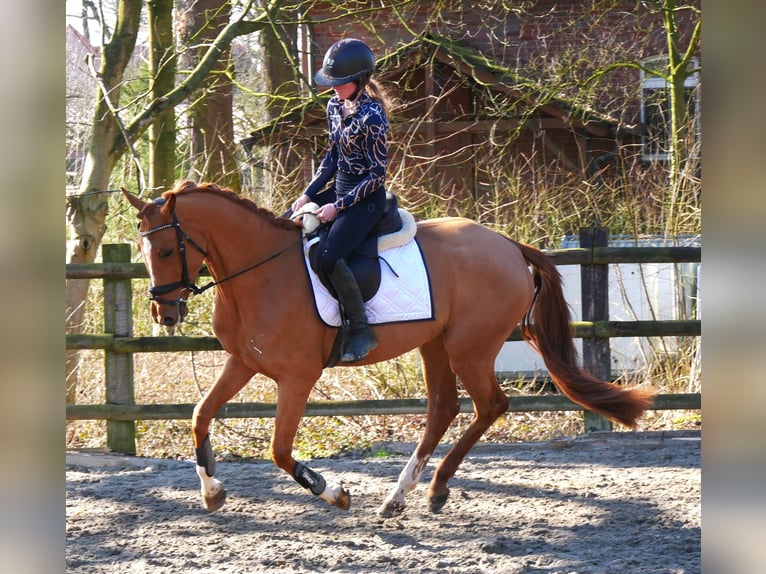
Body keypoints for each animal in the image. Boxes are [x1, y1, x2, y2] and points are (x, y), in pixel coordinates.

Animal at [124, 183, 656, 516]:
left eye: (168, 250)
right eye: (144, 252)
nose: (163, 313)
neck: (260, 272)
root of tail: (508, 245)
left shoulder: (297, 377)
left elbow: (279, 450)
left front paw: (334, 493)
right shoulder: (243, 362)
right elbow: (199, 414)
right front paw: (213, 491)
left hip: (469, 347)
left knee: (490, 405)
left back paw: (434, 488)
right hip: (436, 345)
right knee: (444, 408)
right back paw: (402, 496)